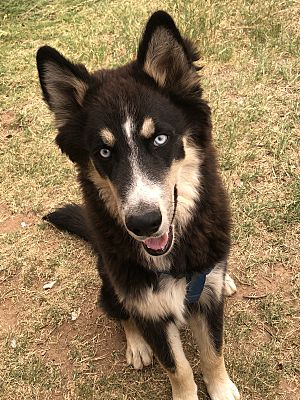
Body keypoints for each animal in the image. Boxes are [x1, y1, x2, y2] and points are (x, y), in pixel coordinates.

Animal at [36, 10, 240, 398]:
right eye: (103, 152)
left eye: (159, 138)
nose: (144, 223)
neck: (175, 258)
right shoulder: (150, 311)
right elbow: (179, 367)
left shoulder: (207, 300)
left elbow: (213, 351)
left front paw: (221, 388)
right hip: (110, 282)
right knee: (120, 313)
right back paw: (137, 346)